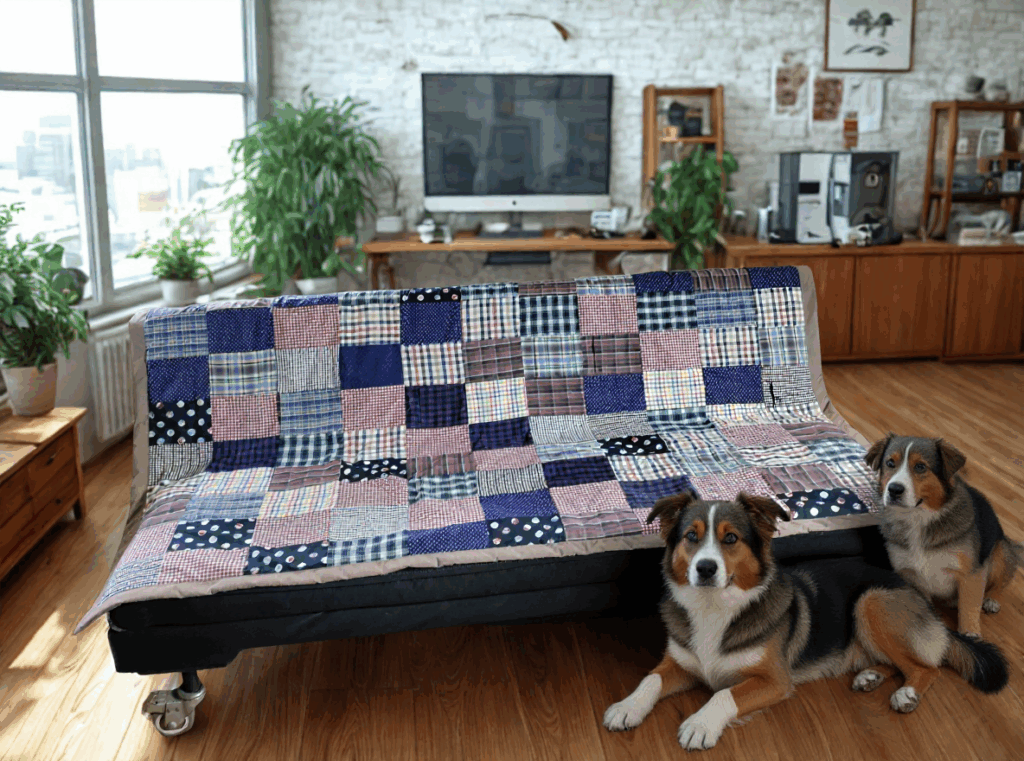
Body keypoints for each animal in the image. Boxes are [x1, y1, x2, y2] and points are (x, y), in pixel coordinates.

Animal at [603, 491, 1008, 751]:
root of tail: (920, 597)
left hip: (870, 601)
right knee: (901, 661)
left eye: (730, 539)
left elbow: (723, 693)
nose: (704, 569)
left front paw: (700, 724)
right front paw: (626, 707)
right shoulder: (679, 662)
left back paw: (906, 693)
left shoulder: (773, 680)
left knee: (926, 666)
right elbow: (650, 679)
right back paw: (870, 676)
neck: (714, 606)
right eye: (691, 536)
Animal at [865, 433, 1024, 637]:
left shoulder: (971, 574)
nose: (894, 490)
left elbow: (969, 608)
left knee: (999, 583)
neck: (918, 518)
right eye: (890, 463)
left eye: (920, 466)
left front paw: (971, 635)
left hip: (1000, 553)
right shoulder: (911, 576)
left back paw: (991, 600)